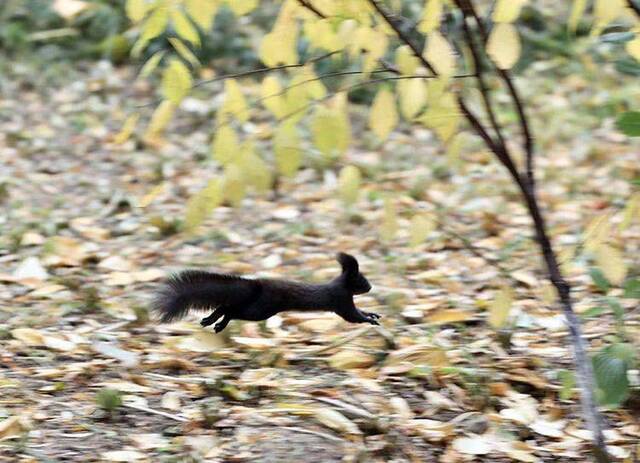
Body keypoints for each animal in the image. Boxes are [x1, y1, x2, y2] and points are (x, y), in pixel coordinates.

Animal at [152, 254, 378, 334]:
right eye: (362, 280)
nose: (370, 287)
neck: (340, 286)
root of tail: (256, 285)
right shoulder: (341, 301)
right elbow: (353, 316)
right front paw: (371, 319)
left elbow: (358, 311)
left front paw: (373, 314)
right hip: (260, 310)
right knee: (231, 310)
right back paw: (215, 323)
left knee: (227, 307)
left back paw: (210, 321)